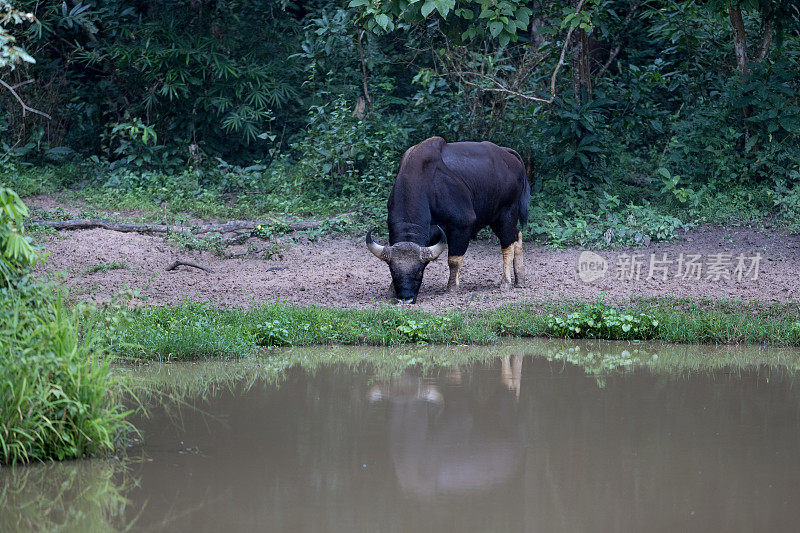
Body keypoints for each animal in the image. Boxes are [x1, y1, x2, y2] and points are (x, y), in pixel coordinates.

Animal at [368, 136, 532, 304]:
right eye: (392, 271)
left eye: (419, 271)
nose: (405, 298)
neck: (428, 184)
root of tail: (507, 154)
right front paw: (391, 290)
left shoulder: (462, 226)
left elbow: (453, 260)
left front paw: (452, 288)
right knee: (517, 235)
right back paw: (520, 279)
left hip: (507, 213)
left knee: (507, 244)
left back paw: (506, 282)